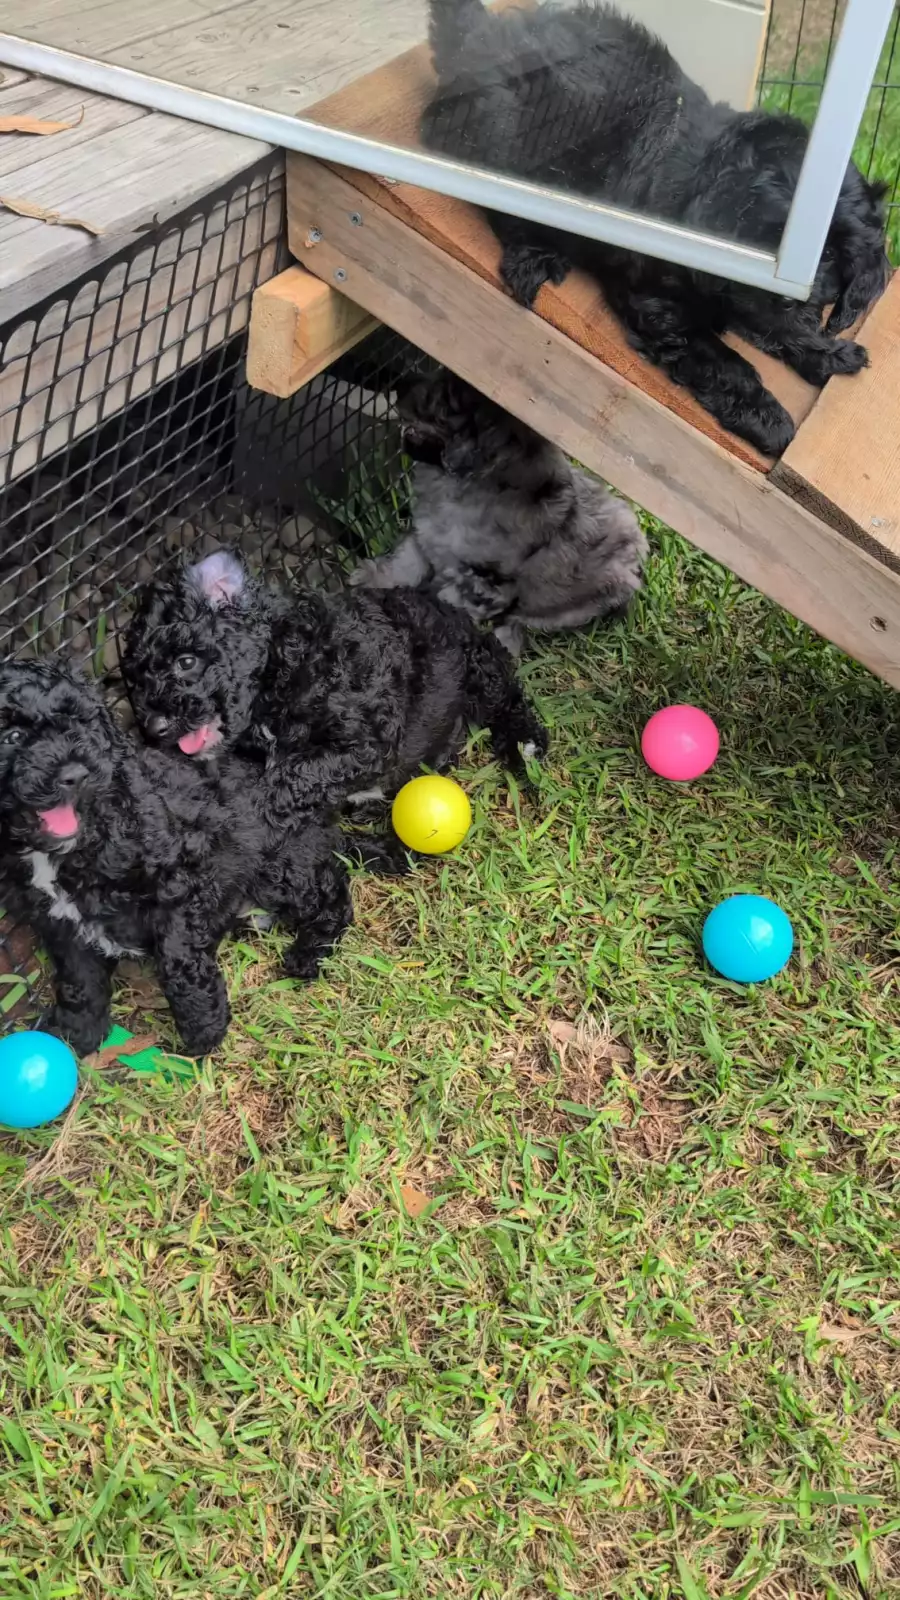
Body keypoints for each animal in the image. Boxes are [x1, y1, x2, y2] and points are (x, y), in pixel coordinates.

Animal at [0, 659, 355, 1058]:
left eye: (80, 724)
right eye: (12, 736)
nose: (75, 775)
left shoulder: (183, 886)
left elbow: (178, 960)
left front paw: (204, 1031)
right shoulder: (58, 922)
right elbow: (79, 976)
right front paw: (80, 1032)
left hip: (281, 866)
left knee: (332, 897)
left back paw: (308, 954)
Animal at [121, 550, 549, 822]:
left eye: (186, 662)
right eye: (135, 681)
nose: (154, 728)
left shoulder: (366, 740)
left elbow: (294, 776)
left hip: (481, 664)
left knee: (506, 696)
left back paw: (525, 743)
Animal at [351, 368, 647, 653]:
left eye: (444, 400)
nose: (398, 383)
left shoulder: (486, 582)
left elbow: (449, 604)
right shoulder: (425, 533)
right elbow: (405, 563)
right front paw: (373, 578)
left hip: (567, 607)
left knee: (522, 623)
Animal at [422, 0, 890, 456]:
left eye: (832, 255)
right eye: (763, 239)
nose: (789, 298)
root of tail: (478, 38)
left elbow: (778, 327)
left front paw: (826, 352)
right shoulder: (658, 299)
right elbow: (719, 357)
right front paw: (767, 417)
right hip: (505, 132)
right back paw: (534, 255)